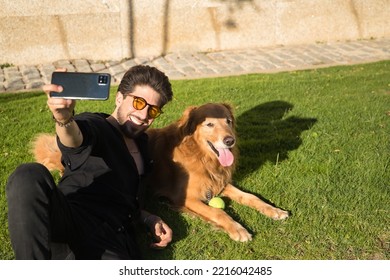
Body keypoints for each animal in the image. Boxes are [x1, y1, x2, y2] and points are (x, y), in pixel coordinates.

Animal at [34, 102, 290, 241]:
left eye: (228, 121)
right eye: (209, 124)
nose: (230, 141)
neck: (200, 155)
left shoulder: (218, 183)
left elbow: (251, 197)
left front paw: (274, 210)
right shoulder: (186, 198)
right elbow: (219, 213)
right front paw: (237, 229)